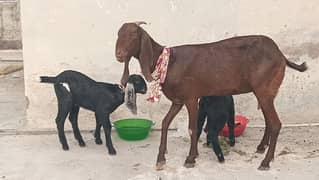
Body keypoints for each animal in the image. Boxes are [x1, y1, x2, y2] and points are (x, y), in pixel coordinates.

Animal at [115, 21, 308, 170]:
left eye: (133, 35)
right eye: (118, 34)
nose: (119, 54)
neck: (168, 63)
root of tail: (281, 55)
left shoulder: (191, 98)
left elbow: (193, 128)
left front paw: (191, 158)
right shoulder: (178, 101)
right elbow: (165, 123)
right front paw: (161, 159)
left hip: (264, 89)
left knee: (275, 123)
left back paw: (266, 162)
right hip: (267, 92)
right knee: (269, 120)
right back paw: (261, 148)